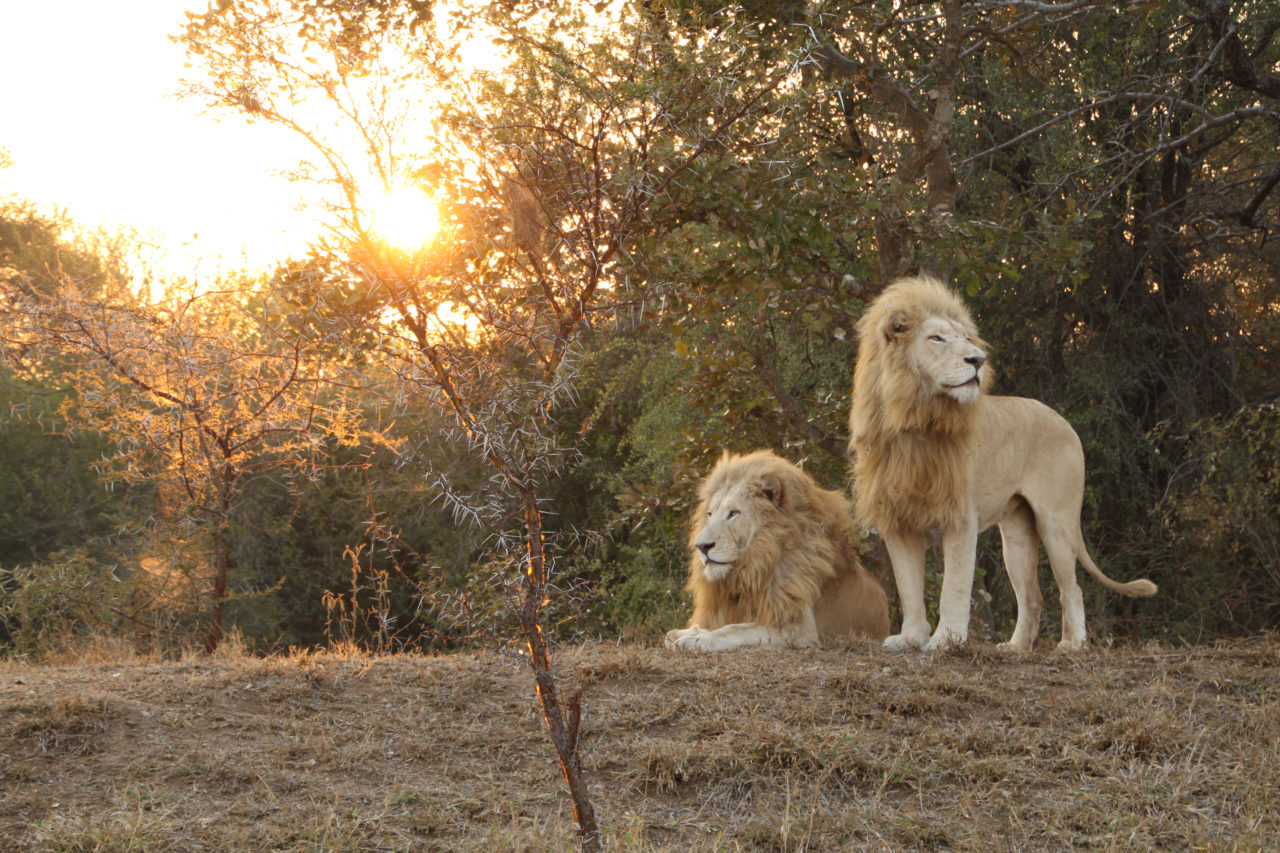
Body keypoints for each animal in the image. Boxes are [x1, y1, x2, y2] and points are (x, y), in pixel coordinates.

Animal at [665, 448, 885, 648]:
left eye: (733, 513)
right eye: (709, 514)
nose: (701, 546)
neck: (756, 565)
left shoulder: (801, 630)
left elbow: (735, 629)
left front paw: (696, 640)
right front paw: (686, 633)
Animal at [849, 275, 1162, 648]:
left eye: (967, 339)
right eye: (936, 338)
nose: (978, 360)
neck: (914, 421)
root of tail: (1064, 421)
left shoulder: (961, 516)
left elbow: (954, 586)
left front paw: (945, 641)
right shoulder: (898, 516)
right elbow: (908, 584)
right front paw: (910, 638)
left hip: (1056, 520)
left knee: (1071, 589)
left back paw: (1071, 645)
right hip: (1016, 531)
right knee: (1032, 595)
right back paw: (1015, 648)